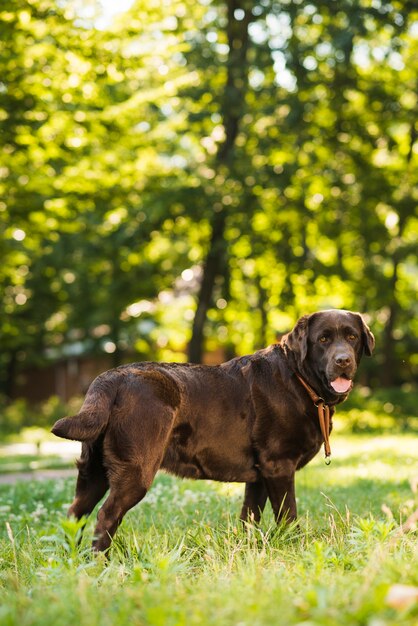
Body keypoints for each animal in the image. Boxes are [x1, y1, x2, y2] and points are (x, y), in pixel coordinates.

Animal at [52, 310, 376, 548]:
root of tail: (111, 377)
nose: (343, 361)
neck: (300, 378)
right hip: (135, 470)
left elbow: (250, 516)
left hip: (93, 471)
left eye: (352, 337)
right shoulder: (278, 465)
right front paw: (295, 548)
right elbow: (288, 515)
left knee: (75, 513)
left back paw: (73, 563)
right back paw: (100, 565)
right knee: (106, 516)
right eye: (323, 339)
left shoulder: (259, 475)